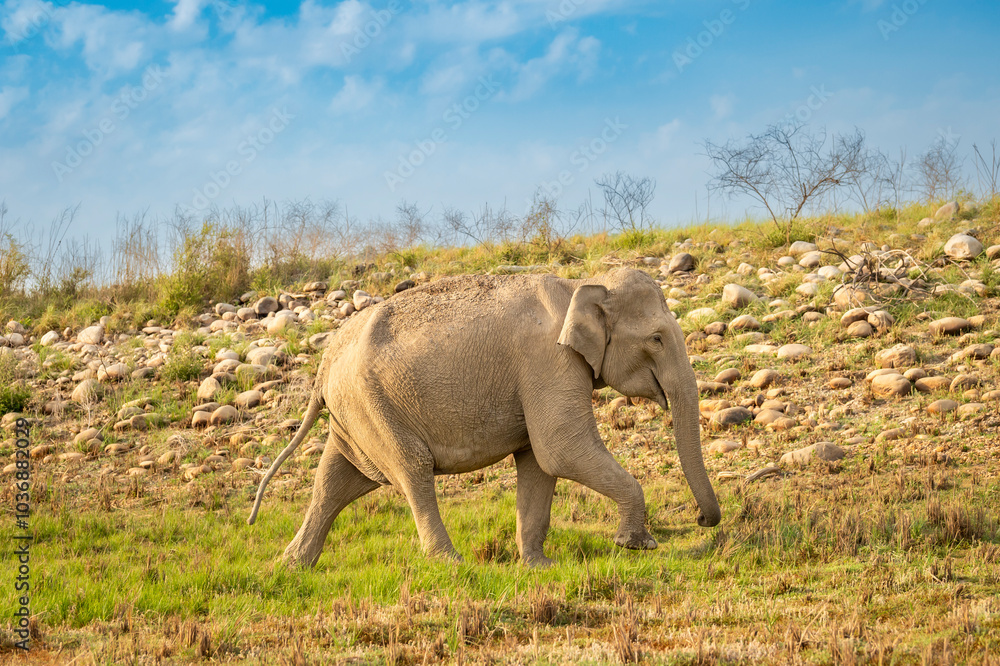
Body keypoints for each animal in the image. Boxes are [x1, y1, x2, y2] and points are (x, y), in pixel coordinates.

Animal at [247, 268, 720, 567]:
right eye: (656, 339)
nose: (702, 520)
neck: (581, 285)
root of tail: (324, 363)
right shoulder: (548, 362)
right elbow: (560, 450)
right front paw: (637, 546)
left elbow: (538, 463)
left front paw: (540, 566)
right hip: (373, 405)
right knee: (411, 470)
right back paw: (451, 563)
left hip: (355, 413)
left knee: (337, 479)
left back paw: (291, 566)